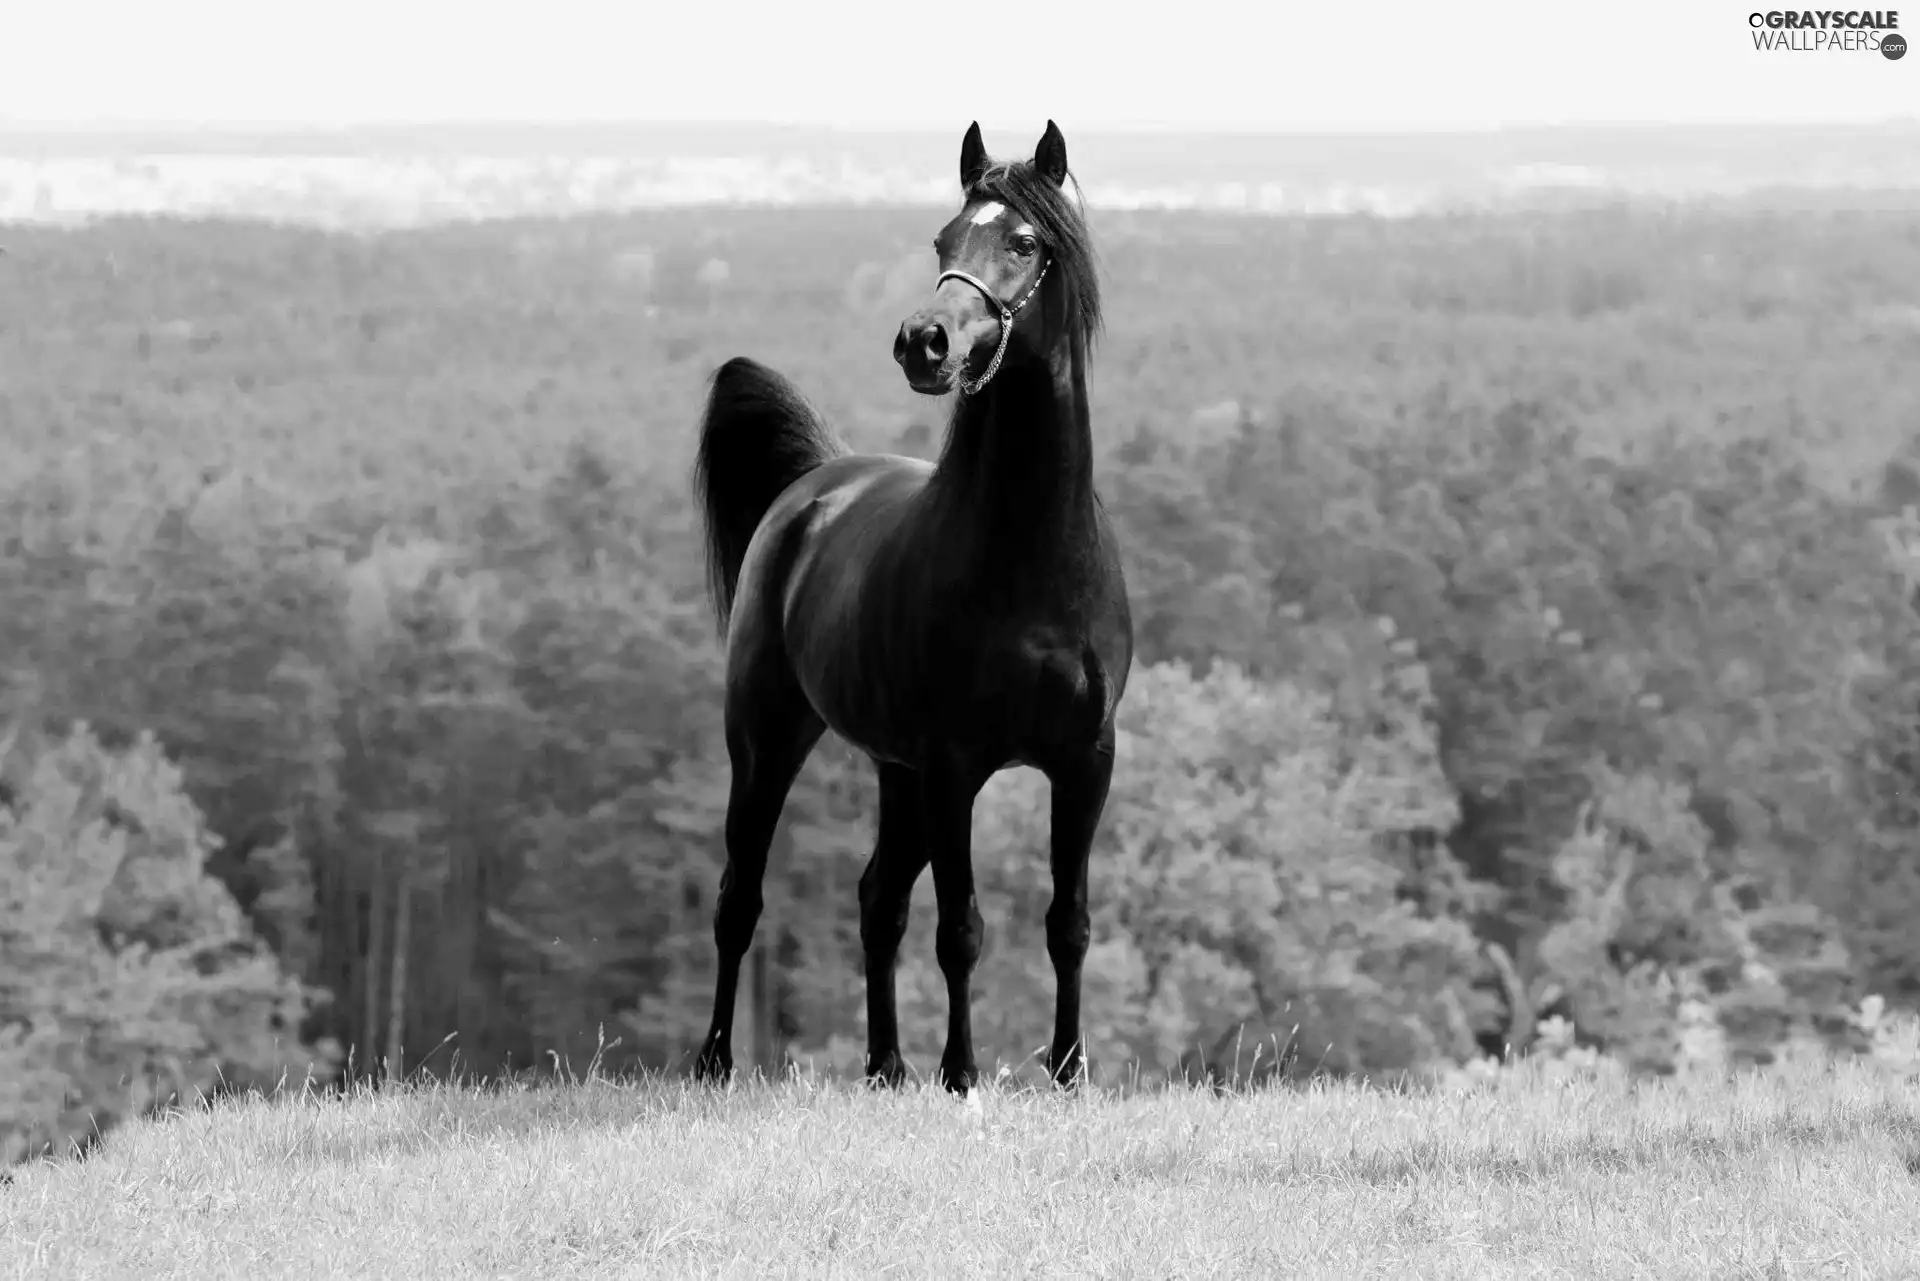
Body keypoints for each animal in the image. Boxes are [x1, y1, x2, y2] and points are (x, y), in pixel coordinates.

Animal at [687, 120, 1121, 1090]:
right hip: (766, 742)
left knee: (876, 896)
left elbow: (1067, 923)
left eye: (1024, 242)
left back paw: (886, 1064)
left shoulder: (1084, 762)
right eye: (942, 239)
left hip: (899, 772)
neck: (1034, 562)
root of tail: (812, 483)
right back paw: (716, 1059)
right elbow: (961, 928)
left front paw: (1070, 1070)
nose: (924, 341)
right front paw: (961, 1073)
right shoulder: (957, 764)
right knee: (741, 896)